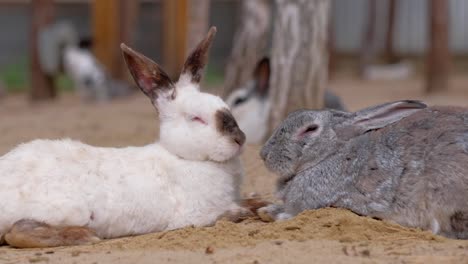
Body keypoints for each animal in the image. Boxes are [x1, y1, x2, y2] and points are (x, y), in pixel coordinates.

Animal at [0, 26, 250, 248]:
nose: (240, 138)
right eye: (197, 118)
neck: (180, 157)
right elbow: (227, 213)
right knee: (17, 232)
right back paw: (83, 236)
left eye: (223, 103)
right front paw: (242, 211)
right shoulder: (195, 215)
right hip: (66, 209)